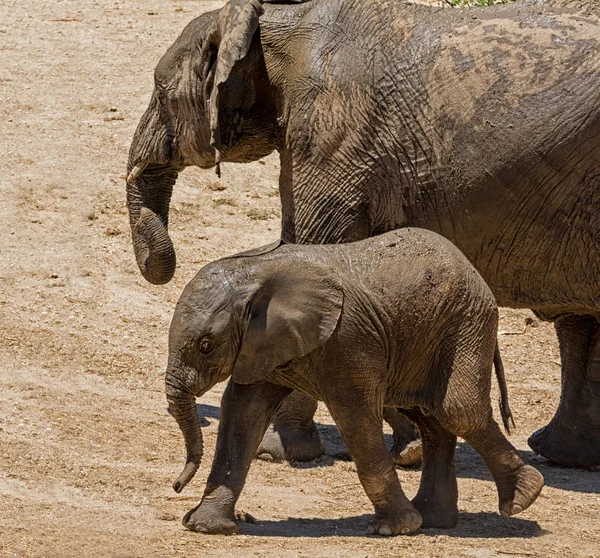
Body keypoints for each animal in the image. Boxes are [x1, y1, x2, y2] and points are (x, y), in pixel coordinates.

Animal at [126, 0, 600, 472]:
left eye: (161, 95)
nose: (163, 264)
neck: (275, 23)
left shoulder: (333, 136)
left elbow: (311, 250)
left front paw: (279, 452)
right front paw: (406, 446)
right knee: (580, 322)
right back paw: (561, 455)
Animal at [164, 229, 544, 540]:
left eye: (205, 345)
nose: (176, 485)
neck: (255, 270)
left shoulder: (347, 340)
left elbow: (355, 418)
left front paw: (394, 529)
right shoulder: (261, 344)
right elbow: (242, 414)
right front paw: (205, 526)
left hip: (465, 324)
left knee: (457, 411)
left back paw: (523, 497)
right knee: (433, 419)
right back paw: (435, 519)